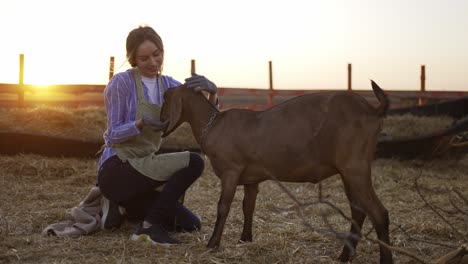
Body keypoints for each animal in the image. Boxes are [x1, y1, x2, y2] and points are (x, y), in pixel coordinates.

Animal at [162, 81, 394, 264]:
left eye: (165, 96)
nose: (160, 122)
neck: (214, 125)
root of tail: (372, 109)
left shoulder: (231, 170)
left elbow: (223, 207)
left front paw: (212, 244)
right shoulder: (251, 177)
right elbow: (248, 206)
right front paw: (245, 239)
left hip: (355, 166)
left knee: (379, 213)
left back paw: (383, 259)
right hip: (348, 171)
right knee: (359, 211)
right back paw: (344, 256)